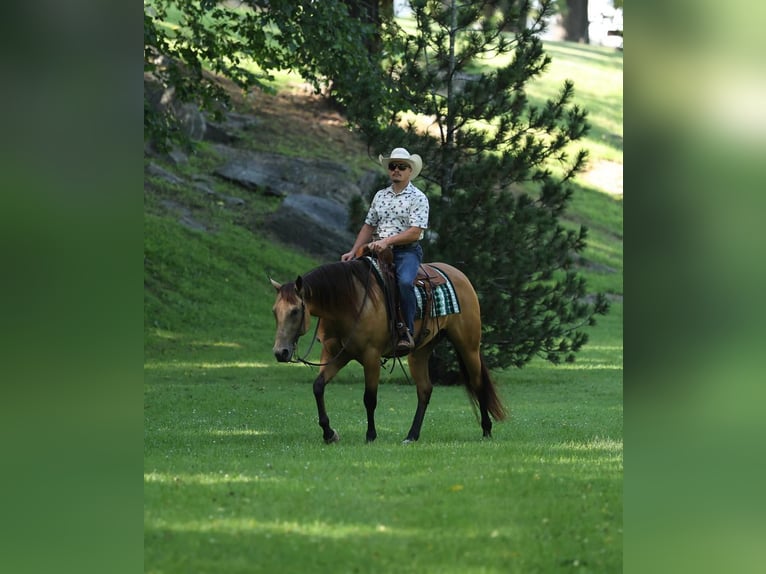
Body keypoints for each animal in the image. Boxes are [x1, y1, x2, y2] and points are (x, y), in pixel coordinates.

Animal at [270, 255, 506, 443]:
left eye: (295, 311)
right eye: (274, 311)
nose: (280, 353)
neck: (349, 303)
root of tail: (458, 275)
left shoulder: (371, 356)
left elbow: (369, 398)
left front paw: (371, 435)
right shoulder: (338, 354)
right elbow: (318, 387)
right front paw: (329, 433)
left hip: (468, 345)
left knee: (477, 382)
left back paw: (486, 430)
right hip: (420, 352)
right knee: (425, 390)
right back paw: (411, 436)